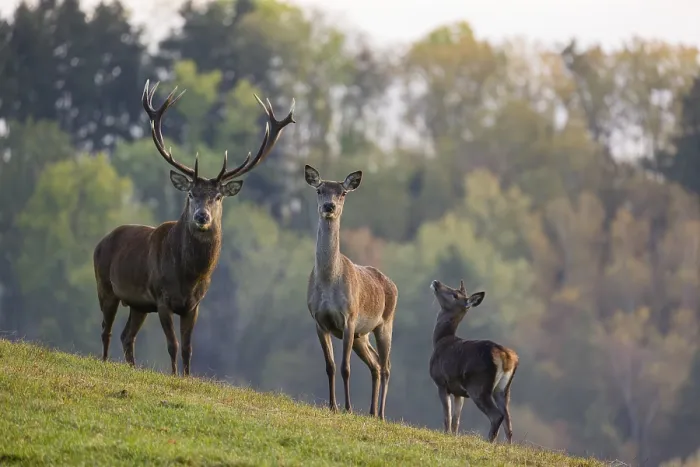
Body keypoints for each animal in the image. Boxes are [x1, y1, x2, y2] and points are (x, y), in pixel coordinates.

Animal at [93, 80, 295, 376]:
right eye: (190, 193)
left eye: (218, 197)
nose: (202, 216)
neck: (188, 276)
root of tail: (101, 241)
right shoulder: (162, 298)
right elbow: (173, 345)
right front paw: (174, 375)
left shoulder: (194, 305)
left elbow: (188, 347)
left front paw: (187, 377)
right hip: (105, 285)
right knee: (106, 329)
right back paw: (105, 361)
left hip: (139, 304)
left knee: (126, 335)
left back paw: (131, 366)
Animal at [304, 165, 398, 420]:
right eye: (319, 190)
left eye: (343, 193)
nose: (329, 206)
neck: (328, 281)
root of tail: (392, 284)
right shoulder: (318, 321)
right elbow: (330, 366)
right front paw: (332, 406)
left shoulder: (349, 318)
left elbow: (346, 368)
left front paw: (347, 407)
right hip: (361, 336)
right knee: (375, 364)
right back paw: (371, 412)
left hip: (384, 323)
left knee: (386, 366)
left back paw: (382, 414)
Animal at [429, 279, 518, 443]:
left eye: (455, 295)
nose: (436, 282)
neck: (440, 340)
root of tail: (506, 356)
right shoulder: (458, 391)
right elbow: (456, 419)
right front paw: (454, 436)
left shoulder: (441, 382)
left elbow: (447, 416)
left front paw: (446, 435)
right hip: (503, 390)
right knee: (508, 422)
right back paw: (507, 446)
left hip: (479, 386)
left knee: (497, 415)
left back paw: (490, 442)